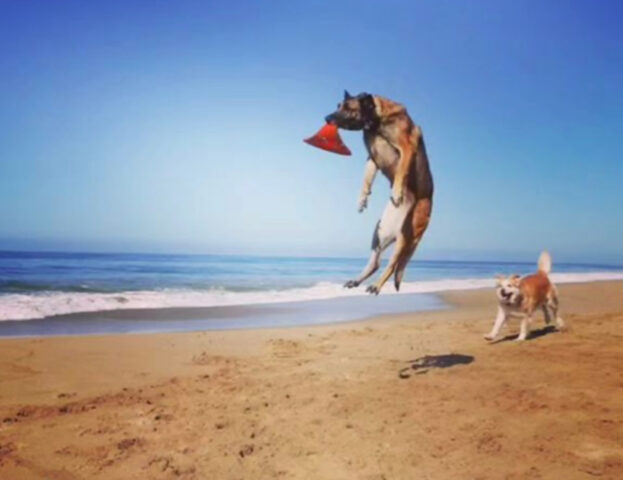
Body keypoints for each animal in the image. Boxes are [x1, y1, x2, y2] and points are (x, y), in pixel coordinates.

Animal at [326, 90, 434, 292]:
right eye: (338, 105)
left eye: (349, 108)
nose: (326, 118)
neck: (375, 123)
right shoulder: (372, 158)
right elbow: (366, 179)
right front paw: (362, 199)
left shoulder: (407, 148)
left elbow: (401, 172)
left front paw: (397, 192)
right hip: (379, 231)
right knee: (375, 263)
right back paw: (356, 281)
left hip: (404, 237)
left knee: (392, 265)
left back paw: (376, 286)